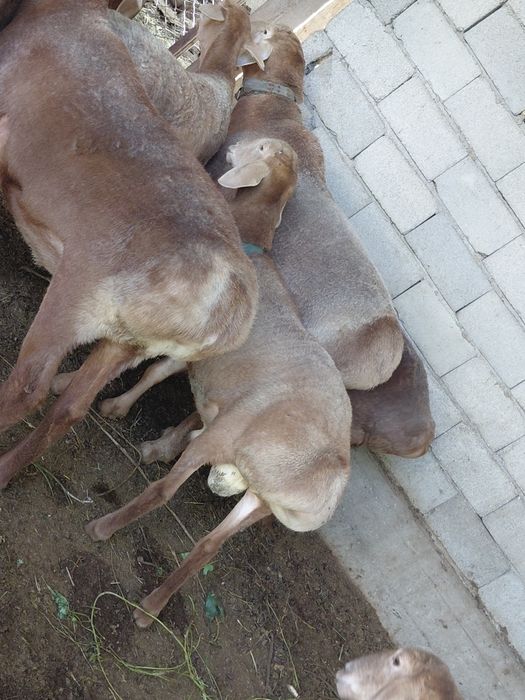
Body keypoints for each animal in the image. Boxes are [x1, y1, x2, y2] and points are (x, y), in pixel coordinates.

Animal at [0, 0, 257, 489]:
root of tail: (222, 311)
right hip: (126, 341)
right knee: (71, 408)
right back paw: (7, 469)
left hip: (80, 295)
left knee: (29, 387)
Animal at [85, 138, 352, 627]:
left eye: (260, 146)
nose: (233, 146)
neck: (252, 243)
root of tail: (329, 473)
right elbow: (168, 382)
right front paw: (152, 434)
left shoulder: (197, 348)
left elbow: (154, 370)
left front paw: (112, 405)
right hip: (258, 500)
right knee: (209, 545)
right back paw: (150, 609)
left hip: (228, 438)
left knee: (164, 492)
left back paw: (104, 528)